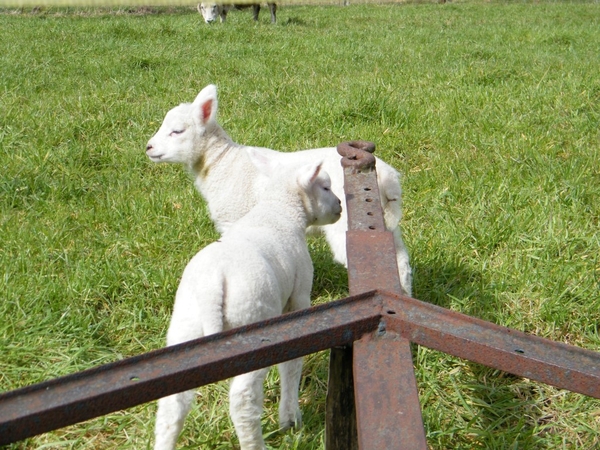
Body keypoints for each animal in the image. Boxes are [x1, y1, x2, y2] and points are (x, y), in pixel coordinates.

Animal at [145, 83, 412, 296]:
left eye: (177, 131)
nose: (148, 147)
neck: (222, 163)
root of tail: (387, 178)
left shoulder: (233, 219)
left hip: (350, 222)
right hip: (384, 221)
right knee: (399, 261)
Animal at [154, 150, 342, 450]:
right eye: (325, 187)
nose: (339, 205)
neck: (279, 211)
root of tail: (213, 285)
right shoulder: (299, 297)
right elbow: (291, 364)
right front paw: (290, 418)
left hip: (185, 327)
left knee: (173, 405)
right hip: (250, 321)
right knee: (243, 400)